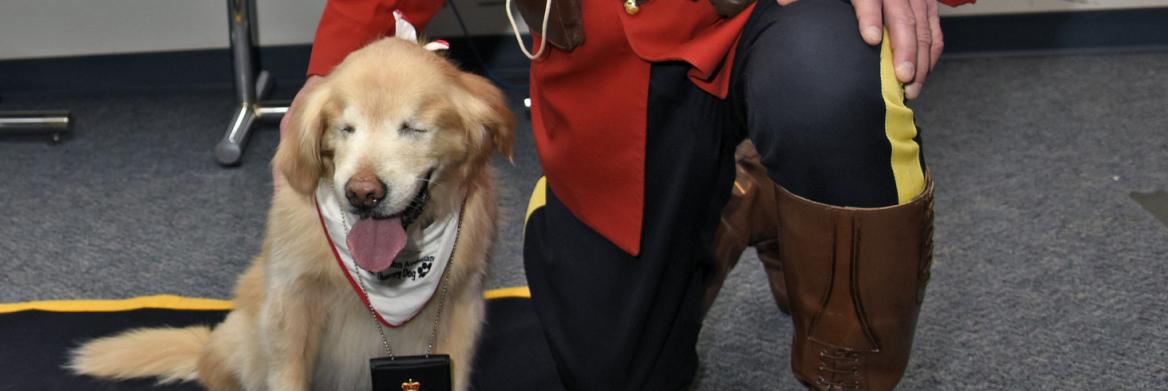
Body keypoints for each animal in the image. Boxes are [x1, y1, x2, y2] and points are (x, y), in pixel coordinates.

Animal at [68, 39, 516, 391]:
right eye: (346, 128)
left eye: (414, 128)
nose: (362, 194)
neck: (390, 279)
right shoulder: (291, 308)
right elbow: (288, 375)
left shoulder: (462, 308)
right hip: (246, 340)